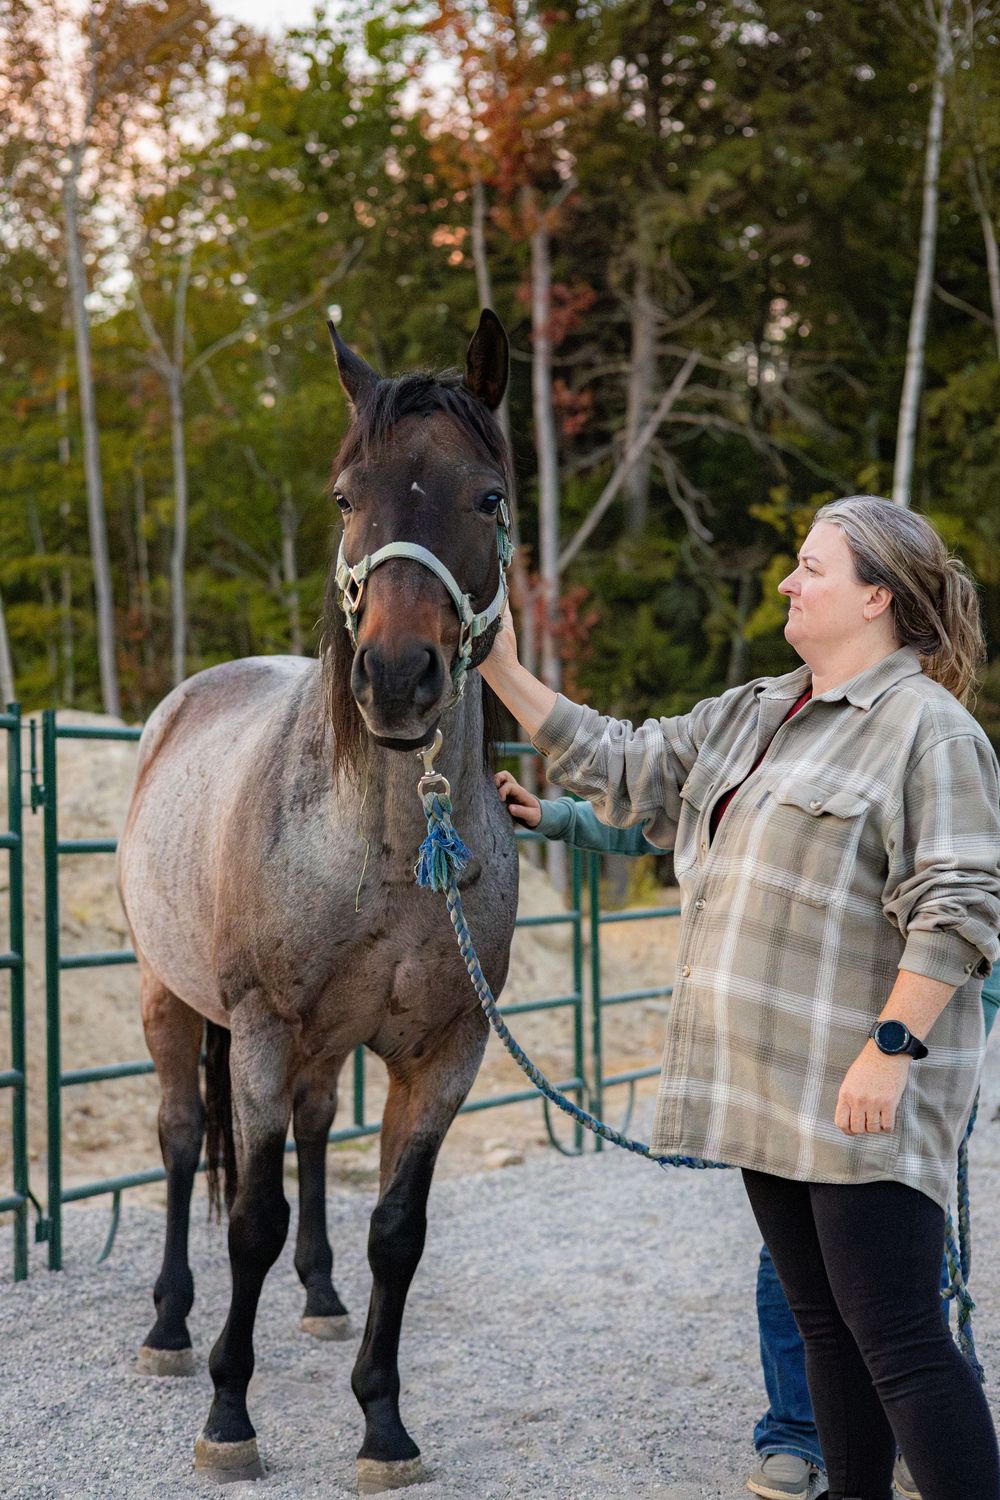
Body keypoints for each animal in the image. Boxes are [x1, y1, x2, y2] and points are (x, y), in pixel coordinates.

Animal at [116, 310, 520, 1494]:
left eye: (488, 496)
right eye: (347, 499)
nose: (394, 678)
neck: (384, 846)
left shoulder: (444, 1053)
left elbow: (397, 1229)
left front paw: (382, 1424)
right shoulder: (257, 1030)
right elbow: (249, 1217)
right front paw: (229, 1413)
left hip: (324, 1047)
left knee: (307, 1129)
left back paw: (323, 1295)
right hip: (169, 1000)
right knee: (180, 1141)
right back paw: (170, 1330)